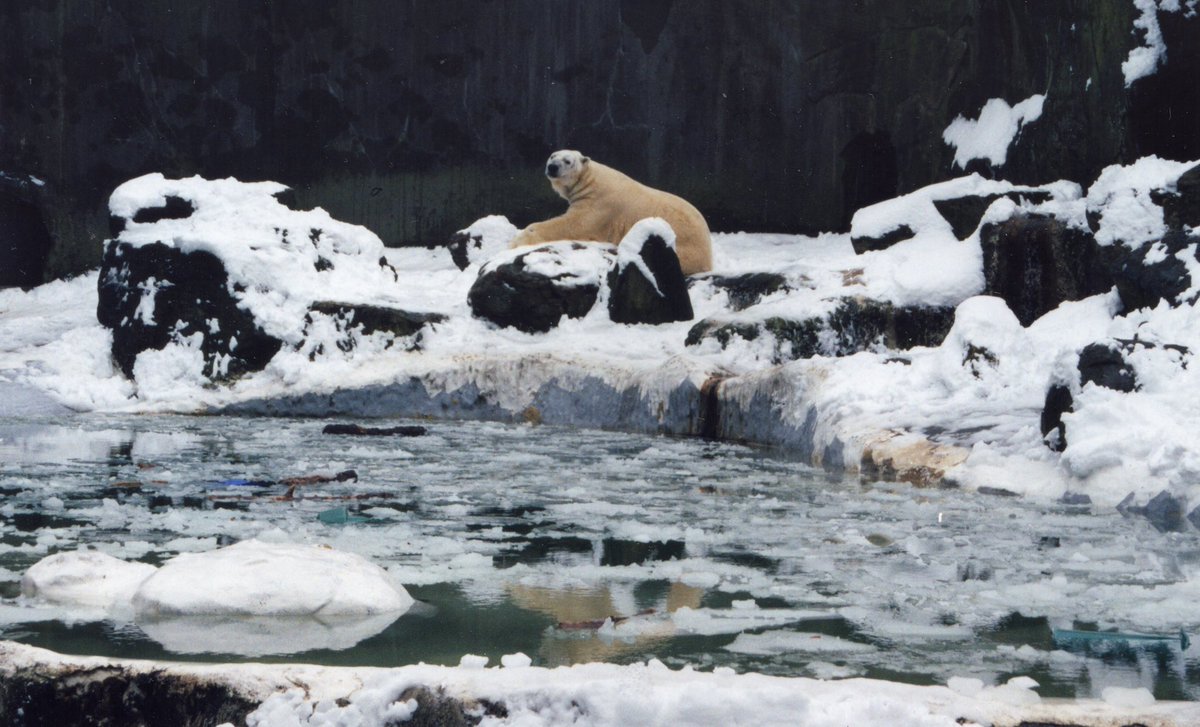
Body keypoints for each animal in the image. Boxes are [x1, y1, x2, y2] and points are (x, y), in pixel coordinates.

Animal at [509, 150, 714, 275]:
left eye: (568, 161)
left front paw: (517, 241)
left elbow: (574, 225)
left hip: (684, 246)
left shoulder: (600, 204)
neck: (590, 180)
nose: (553, 167)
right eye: (552, 156)